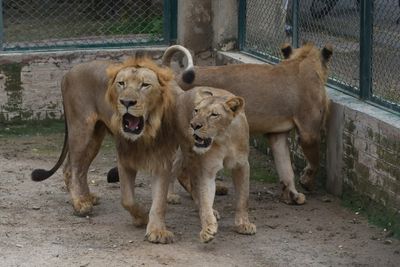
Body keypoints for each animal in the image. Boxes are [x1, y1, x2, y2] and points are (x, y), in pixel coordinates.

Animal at [31, 57, 188, 245]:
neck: (146, 133)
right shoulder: (124, 158)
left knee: (82, 169)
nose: (126, 102)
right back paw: (80, 203)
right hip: (81, 129)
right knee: (71, 168)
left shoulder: (162, 161)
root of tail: (68, 73)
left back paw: (87, 197)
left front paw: (157, 231)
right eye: (121, 83)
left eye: (145, 85)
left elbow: (159, 202)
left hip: (95, 136)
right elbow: (127, 199)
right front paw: (141, 217)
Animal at [161, 43, 332, 205]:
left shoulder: (277, 135)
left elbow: (285, 167)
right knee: (178, 167)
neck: (303, 61)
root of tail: (175, 78)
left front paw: (292, 195)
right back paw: (175, 196)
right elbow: (314, 162)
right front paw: (307, 182)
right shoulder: (309, 132)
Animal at [174, 87, 256, 243]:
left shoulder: (242, 165)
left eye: (214, 115)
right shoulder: (207, 170)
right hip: (190, 153)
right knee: (191, 182)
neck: (224, 139)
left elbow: (244, 197)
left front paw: (243, 224)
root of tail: (185, 91)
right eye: (196, 111)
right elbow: (205, 198)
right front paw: (207, 229)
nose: (194, 125)